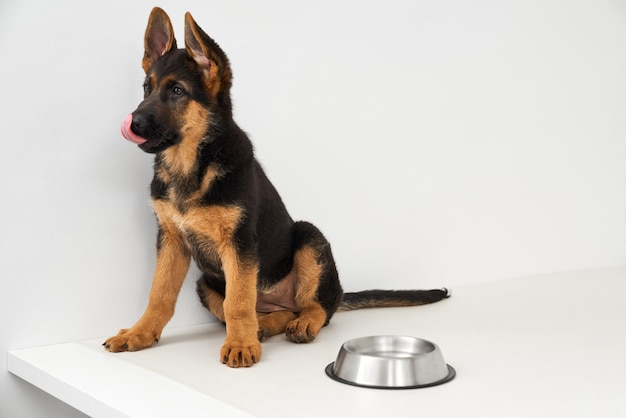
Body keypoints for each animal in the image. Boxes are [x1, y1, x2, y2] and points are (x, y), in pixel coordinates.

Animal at [106, 8, 448, 368]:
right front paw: (140, 333)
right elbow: (160, 294)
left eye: (177, 91)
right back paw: (266, 325)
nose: (133, 123)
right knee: (271, 311)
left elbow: (238, 300)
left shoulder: (240, 242)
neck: (191, 164)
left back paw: (299, 324)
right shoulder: (171, 240)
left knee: (316, 307)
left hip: (310, 238)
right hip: (205, 282)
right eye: (147, 88)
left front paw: (239, 344)